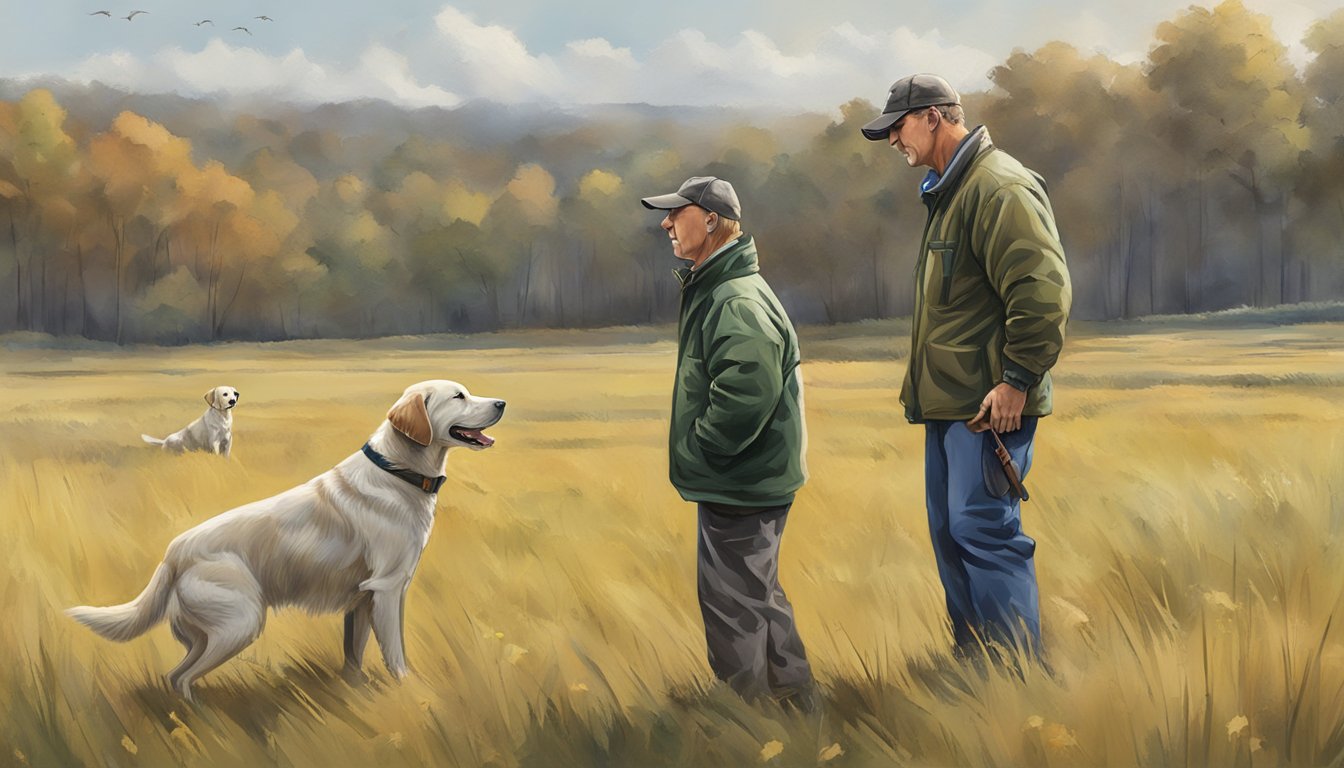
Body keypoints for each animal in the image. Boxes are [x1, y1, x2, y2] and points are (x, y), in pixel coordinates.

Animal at [72, 379, 505, 704]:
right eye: (459, 396)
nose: (502, 402)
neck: (397, 471)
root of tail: (173, 554)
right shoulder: (387, 590)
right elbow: (396, 655)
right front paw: (411, 690)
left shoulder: (362, 600)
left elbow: (353, 655)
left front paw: (356, 692)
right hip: (240, 623)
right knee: (182, 677)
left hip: (208, 632)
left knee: (175, 675)